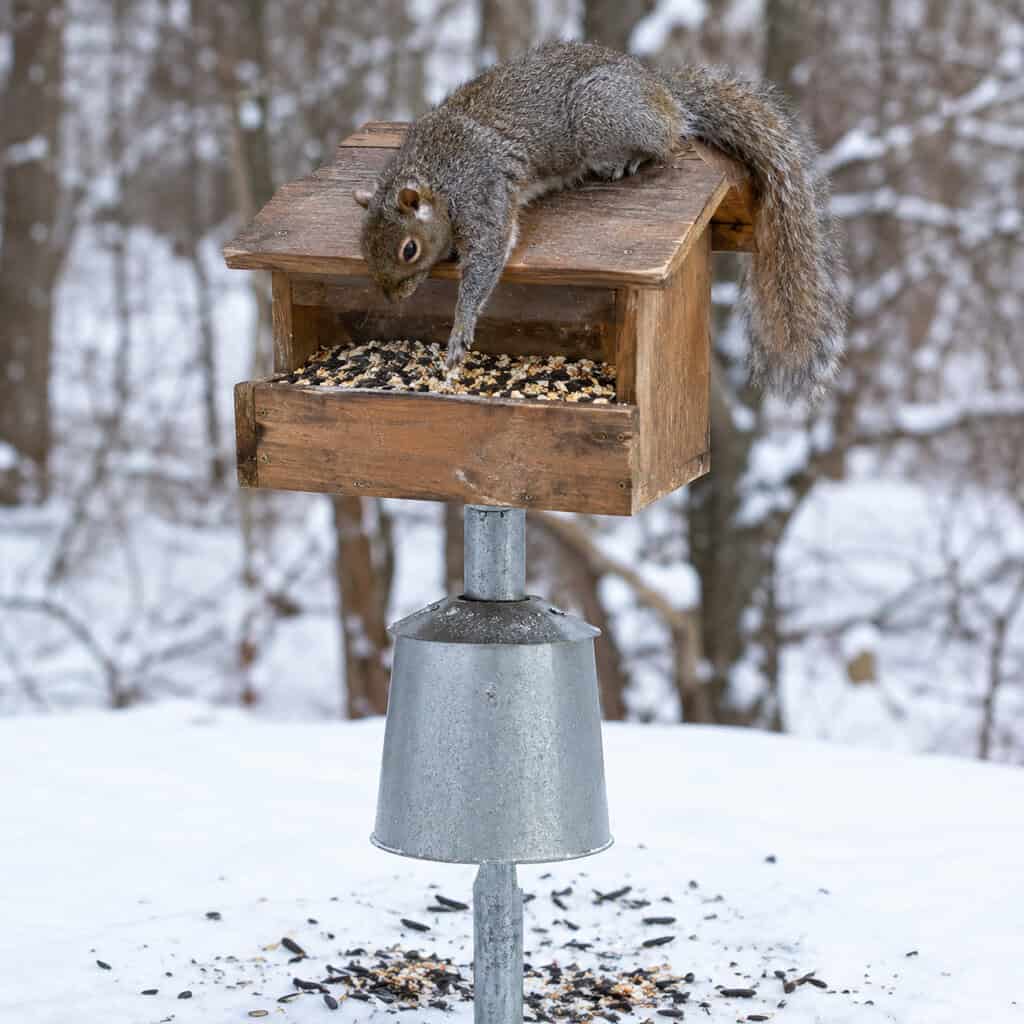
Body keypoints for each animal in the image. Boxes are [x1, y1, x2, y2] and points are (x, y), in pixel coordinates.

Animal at [354, 41, 845, 399]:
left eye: (409, 249)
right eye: (364, 248)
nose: (393, 299)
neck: (434, 174)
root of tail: (662, 92)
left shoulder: (481, 192)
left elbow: (489, 254)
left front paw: (461, 327)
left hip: (601, 115)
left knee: (667, 142)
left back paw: (631, 159)